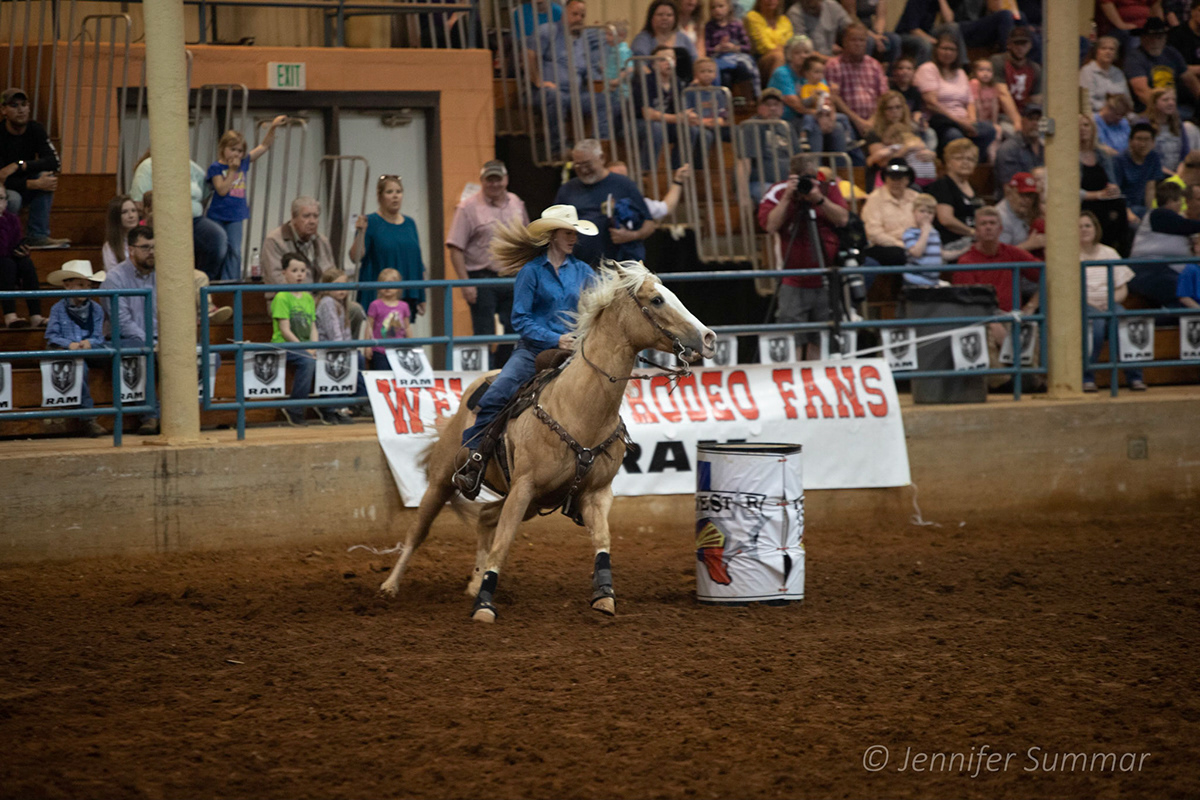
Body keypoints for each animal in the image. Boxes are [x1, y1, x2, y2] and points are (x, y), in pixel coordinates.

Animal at [376, 260, 710, 623]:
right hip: (444, 482)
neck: (578, 408)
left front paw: (604, 596)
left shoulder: (596, 493)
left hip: (534, 504)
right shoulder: (524, 487)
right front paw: (484, 607)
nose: (709, 337)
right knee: (419, 531)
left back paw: (474, 582)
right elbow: (503, 544)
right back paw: (390, 586)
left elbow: (603, 540)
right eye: (657, 299)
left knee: (485, 517)